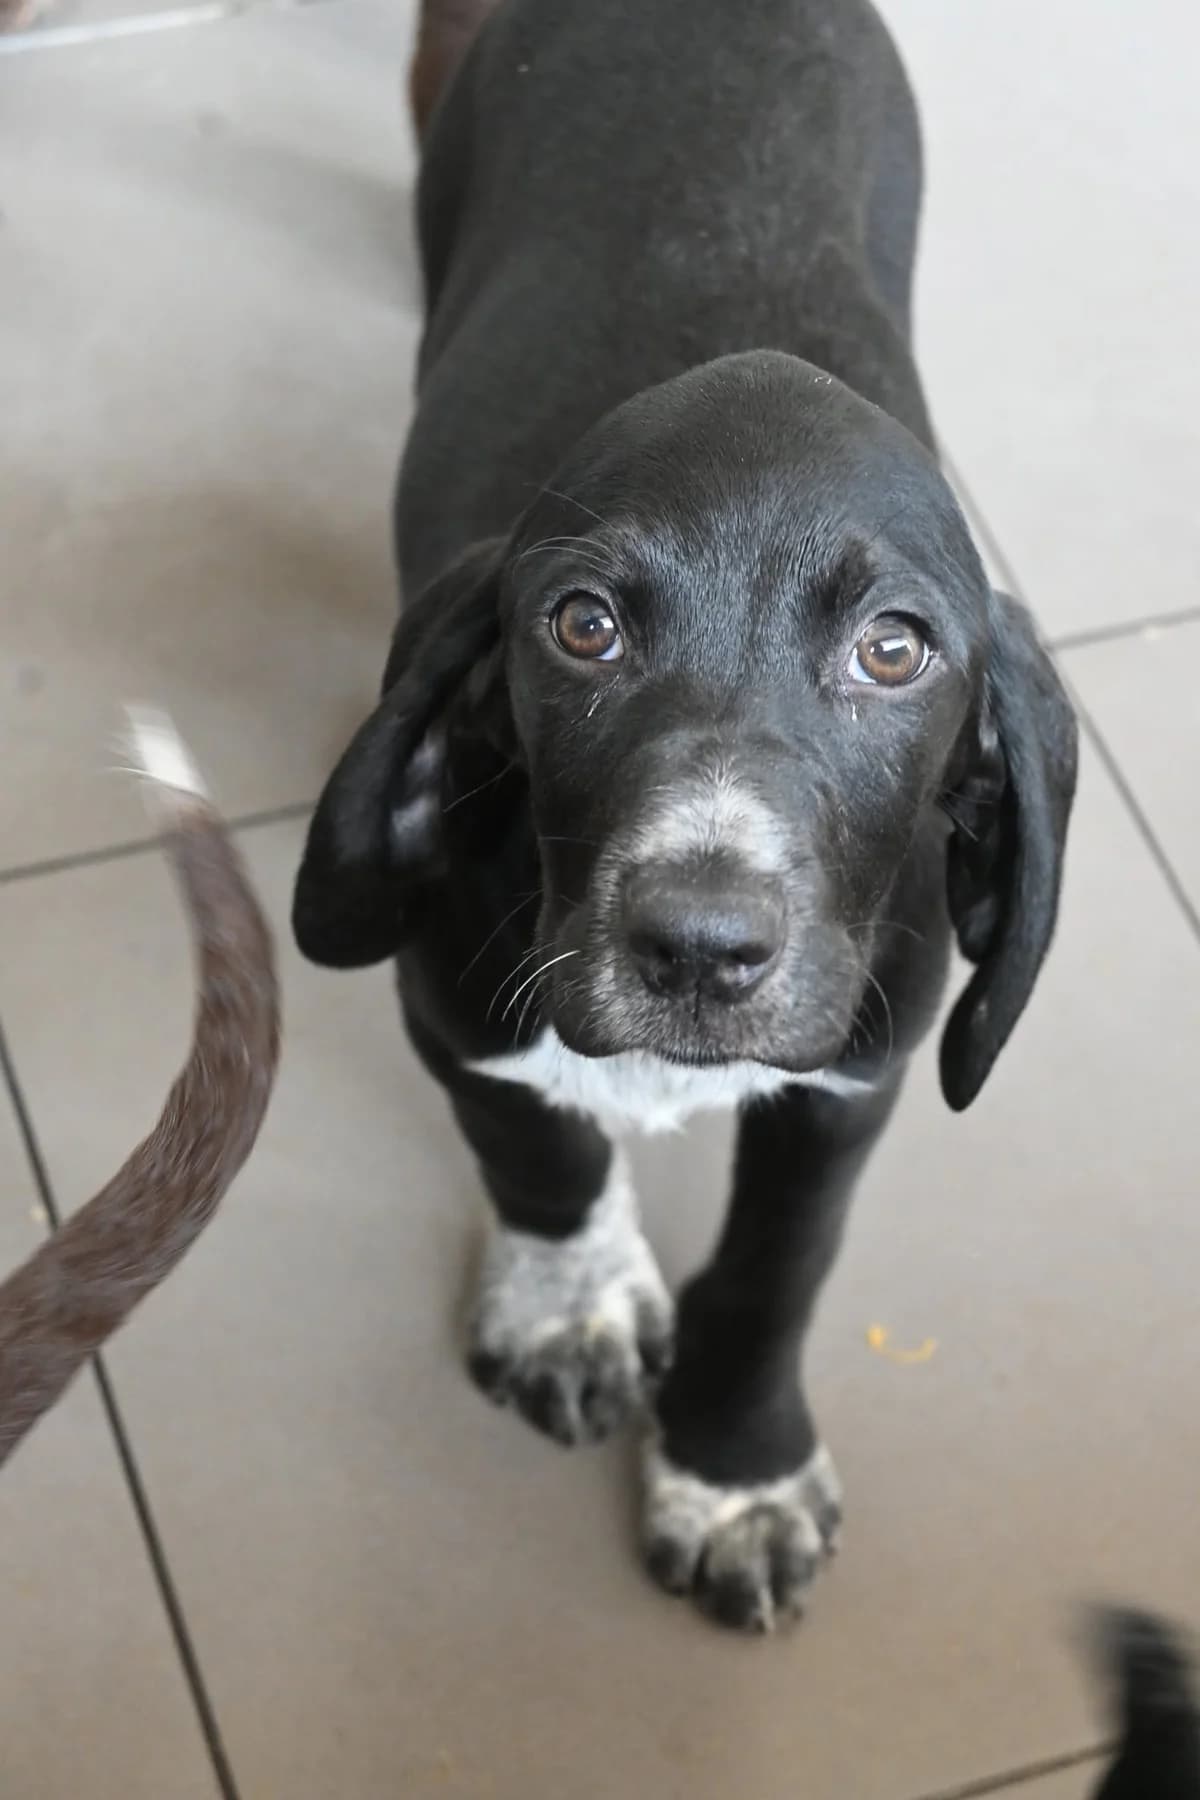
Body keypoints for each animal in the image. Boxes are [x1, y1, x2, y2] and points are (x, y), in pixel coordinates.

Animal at [293, 0, 1079, 1634]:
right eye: (582, 628)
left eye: (895, 649)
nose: (701, 950)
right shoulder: (452, 1009)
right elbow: (544, 1158)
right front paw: (574, 1307)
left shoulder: (856, 1075)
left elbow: (780, 1268)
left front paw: (734, 1467)